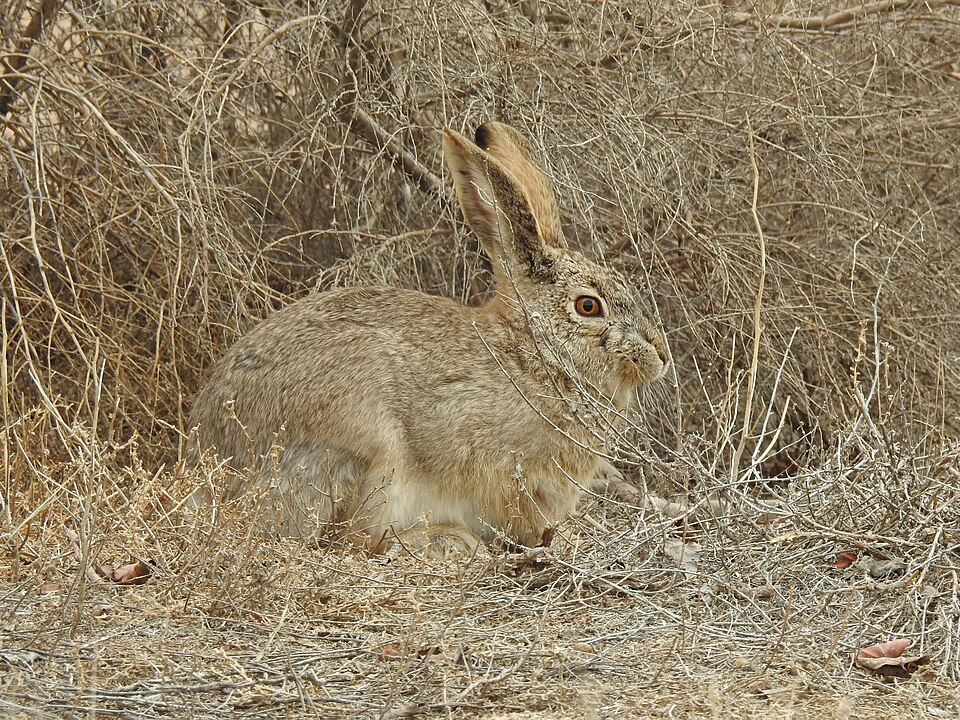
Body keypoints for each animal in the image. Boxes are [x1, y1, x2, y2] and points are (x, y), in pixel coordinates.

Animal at [185, 121, 669, 556]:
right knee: (348, 539)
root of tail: (208, 471)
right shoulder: (510, 476)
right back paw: (446, 541)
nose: (661, 356)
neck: (535, 354)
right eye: (588, 307)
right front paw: (566, 542)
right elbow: (529, 522)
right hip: (367, 452)